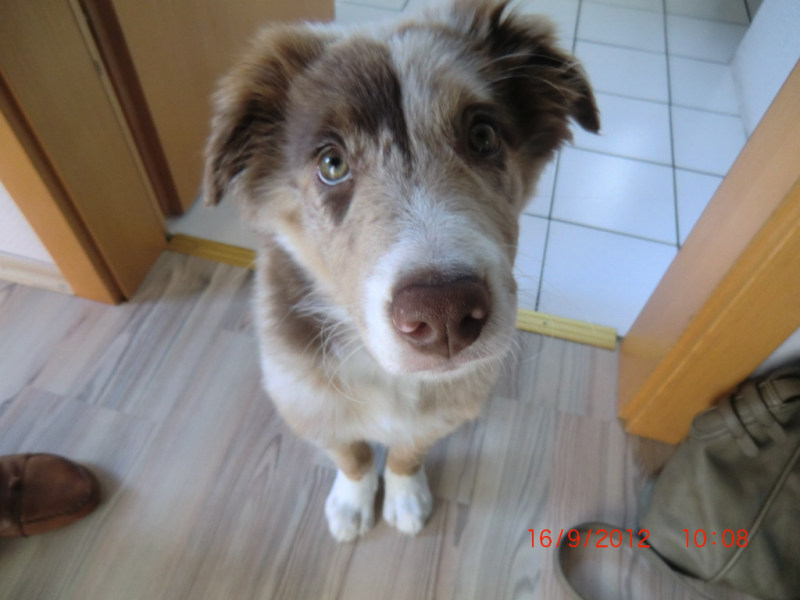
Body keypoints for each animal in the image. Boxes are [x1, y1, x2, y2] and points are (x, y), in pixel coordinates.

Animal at [203, 0, 596, 540]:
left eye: (483, 135)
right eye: (331, 163)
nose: (444, 313)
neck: (383, 372)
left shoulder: (452, 402)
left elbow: (408, 450)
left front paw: (405, 495)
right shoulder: (305, 400)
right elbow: (352, 453)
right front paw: (353, 501)